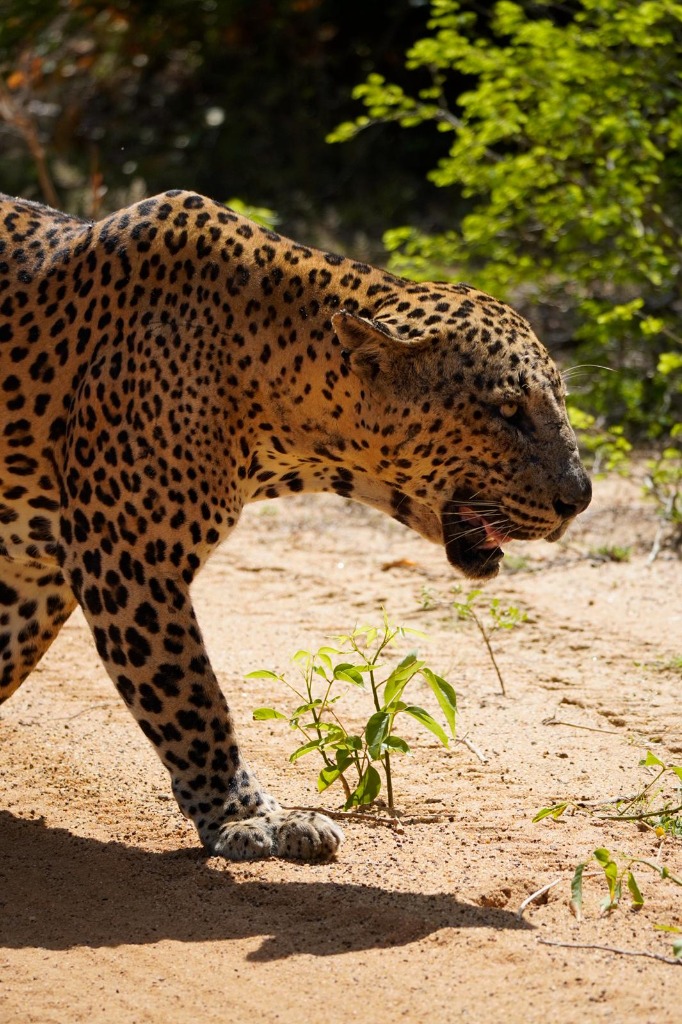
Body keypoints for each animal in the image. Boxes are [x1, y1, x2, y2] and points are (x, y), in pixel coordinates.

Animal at [0, 189, 591, 861]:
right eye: (509, 412)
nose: (581, 497)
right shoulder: (126, 557)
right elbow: (191, 698)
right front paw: (244, 817)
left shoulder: (40, 569)